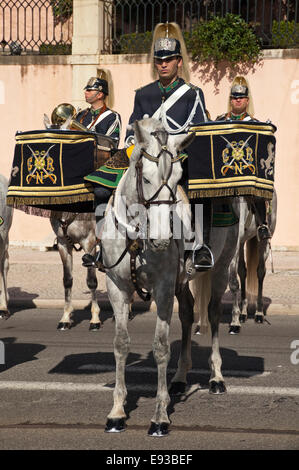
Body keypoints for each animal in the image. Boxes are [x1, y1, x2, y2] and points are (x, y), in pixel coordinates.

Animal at [102, 118, 240, 436]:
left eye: (179, 177)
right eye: (146, 178)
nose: (163, 239)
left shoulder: (163, 289)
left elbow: (161, 347)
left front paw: (160, 416)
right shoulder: (117, 288)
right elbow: (120, 344)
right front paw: (117, 411)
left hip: (221, 267)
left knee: (213, 313)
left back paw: (216, 377)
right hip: (181, 284)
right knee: (188, 313)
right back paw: (179, 378)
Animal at [229, 192, 278, 334]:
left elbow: (233, 283)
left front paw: (234, 323)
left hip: (263, 242)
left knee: (260, 272)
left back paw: (259, 314)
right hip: (241, 243)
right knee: (242, 271)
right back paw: (243, 314)